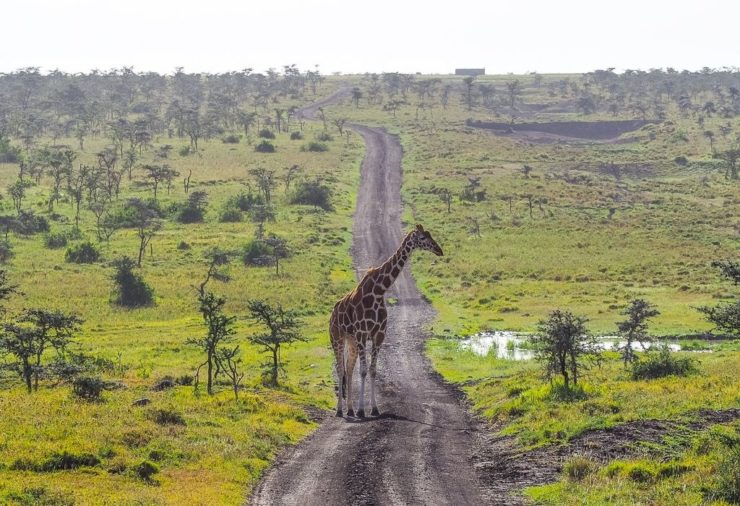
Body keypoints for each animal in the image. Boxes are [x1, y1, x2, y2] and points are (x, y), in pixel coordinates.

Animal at [330, 223, 446, 418]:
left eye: (430, 234)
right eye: (423, 238)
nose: (439, 250)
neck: (379, 291)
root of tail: (331, 314)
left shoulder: (378, 335)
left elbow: (372, 370)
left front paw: (373, 409)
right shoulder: (362, 334)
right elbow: (363, 371)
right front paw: (362, 410)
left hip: (351, 341)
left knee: (348, 369)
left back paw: (350, 410)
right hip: (337, 338)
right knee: (340, 369)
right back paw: (340, 411)